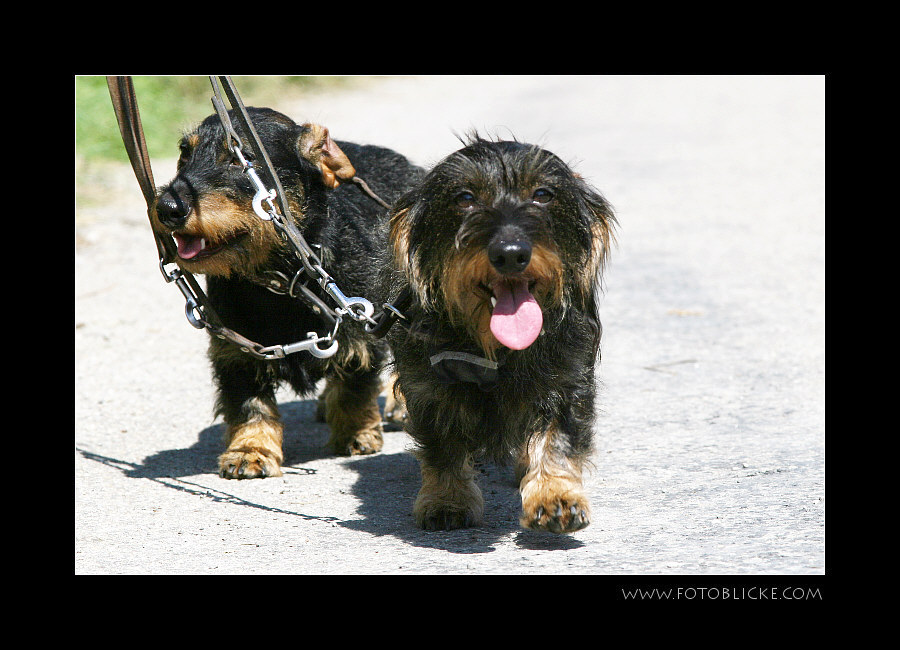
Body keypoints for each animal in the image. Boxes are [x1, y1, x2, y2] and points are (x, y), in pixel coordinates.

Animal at [384, 137, 616, 532]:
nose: (510, 254)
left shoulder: (565, 379)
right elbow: (442, 446)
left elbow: (558, 438)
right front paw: (447, 499)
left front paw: (556, 496)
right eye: (464, 197)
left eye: (543, 194)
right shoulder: (429, 386)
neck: (498, 350)